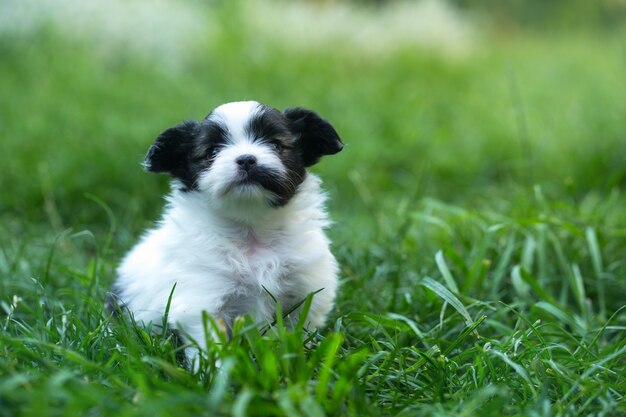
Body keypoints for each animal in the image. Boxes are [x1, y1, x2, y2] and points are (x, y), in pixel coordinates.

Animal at [107, 101, 342, 368]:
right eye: (212, 152)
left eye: (275, 144)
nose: (247, 160)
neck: (251, 228)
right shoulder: (203, 299)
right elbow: (212, 345)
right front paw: (214, 373)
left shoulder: (304, 293)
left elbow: (296, 333)